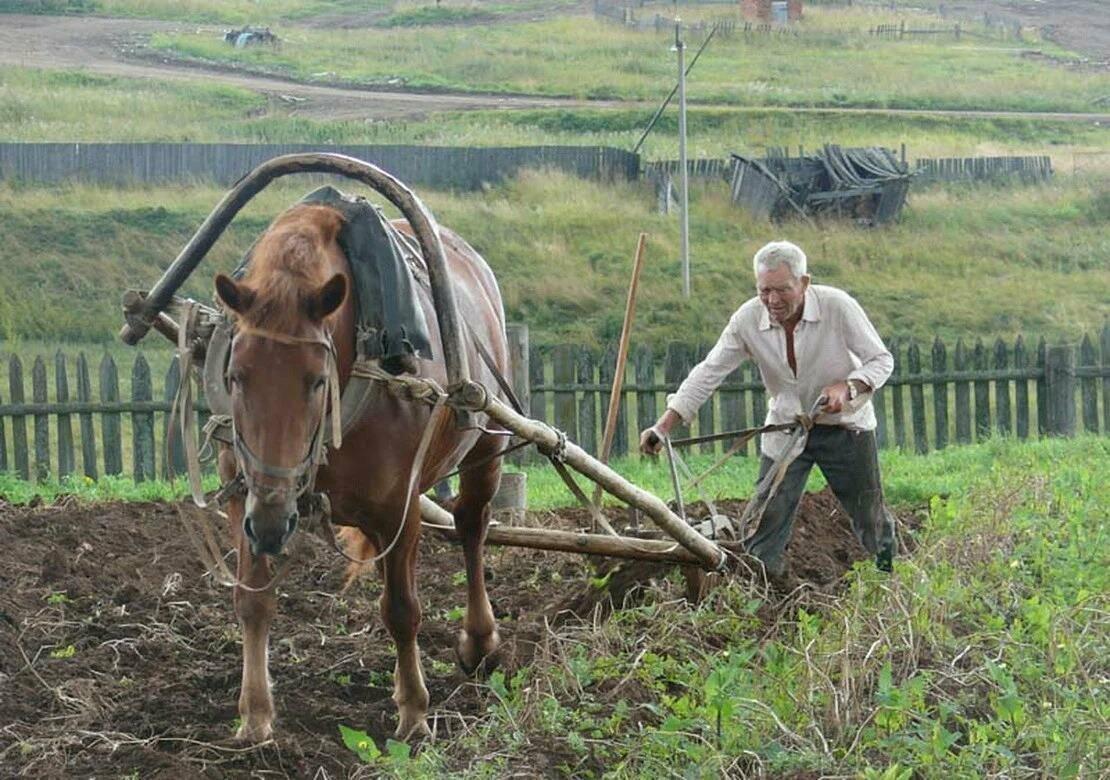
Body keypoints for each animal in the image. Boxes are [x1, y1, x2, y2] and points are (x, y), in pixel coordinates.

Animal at [209, 198, 508, 741]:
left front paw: (414, 712)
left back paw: (479, 640)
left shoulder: (399, 508)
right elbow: (252, 600)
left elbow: (402, 610)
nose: (273, 523)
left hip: (487, 445)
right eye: (236, 375)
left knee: (472, 525)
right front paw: (255, 715)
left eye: (315, 380)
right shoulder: (247, 498)